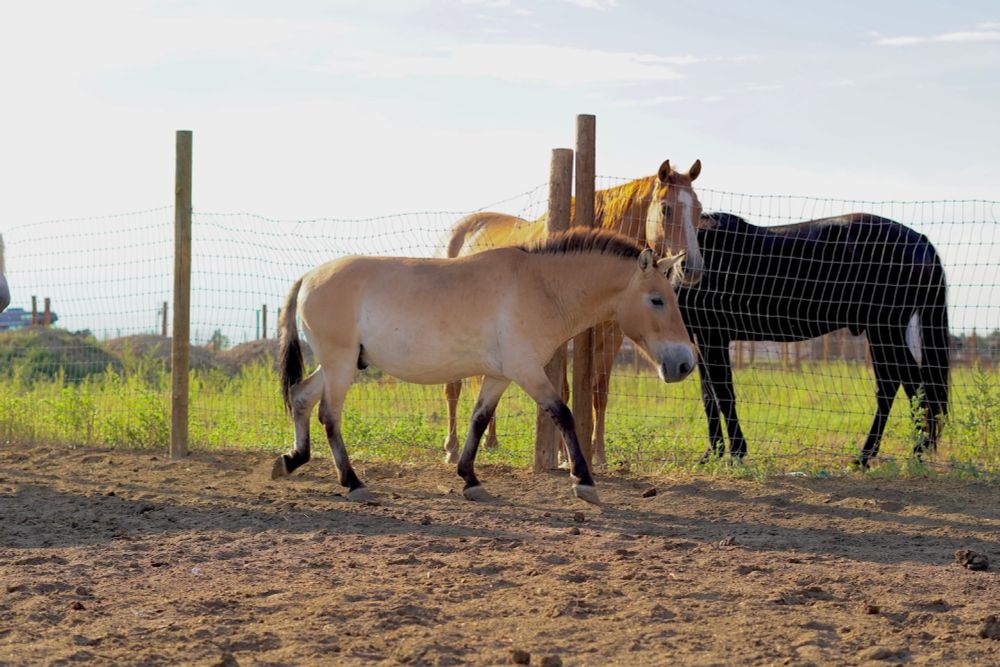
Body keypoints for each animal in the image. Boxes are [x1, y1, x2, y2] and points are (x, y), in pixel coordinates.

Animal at [274, 230, 696, 506]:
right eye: (657, 300)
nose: (685, 363)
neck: (541, 287)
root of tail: (308, 277)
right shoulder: (527, 370)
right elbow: (563, 414)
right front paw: (584, 481)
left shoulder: (499, 376)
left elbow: (479, 420)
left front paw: (470, 479)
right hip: (341, 363)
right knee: (329, 415)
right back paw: (353, 482)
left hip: (338, 364)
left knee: (301, 398)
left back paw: (292, 460)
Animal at [680, 211, 952, 468]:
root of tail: (920, 240)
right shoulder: (701, 337)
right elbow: (709, 396)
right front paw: (711, 454)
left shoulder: (712, 334)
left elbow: (723, 393)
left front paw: (736, 453)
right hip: (881, 333)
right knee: (895, 387)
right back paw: (877, 456)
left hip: (885, 329)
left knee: (907, 387)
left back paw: (903, 454)